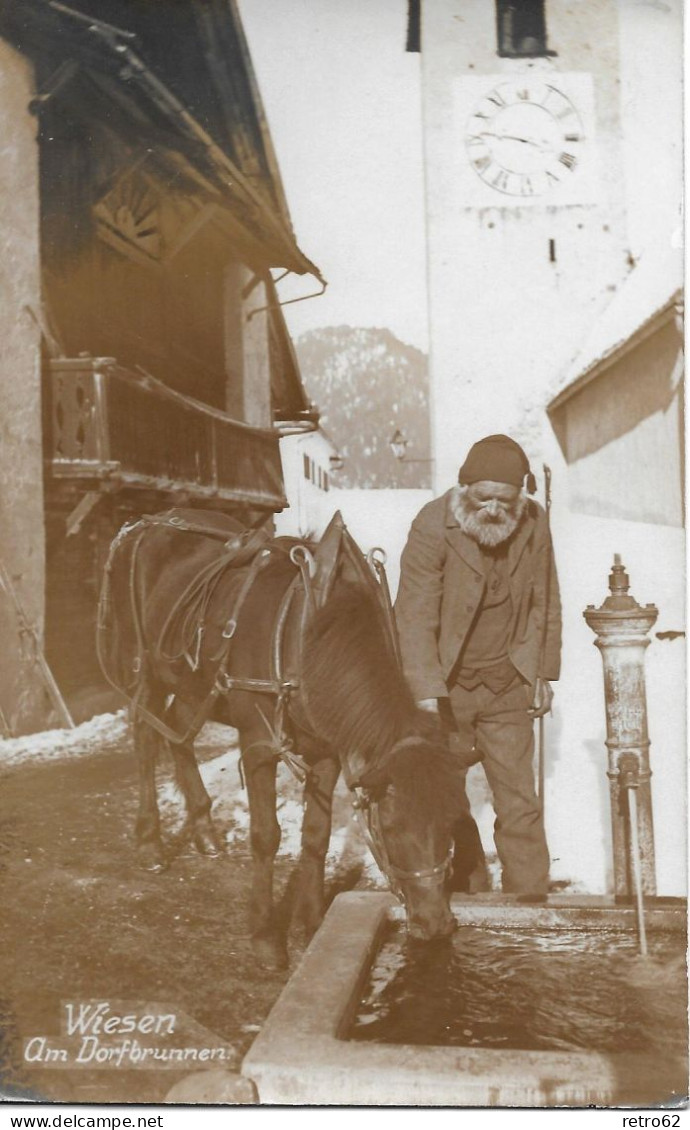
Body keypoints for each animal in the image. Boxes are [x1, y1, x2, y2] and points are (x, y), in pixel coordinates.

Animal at [98, 508, 465, 967]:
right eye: (393, 827)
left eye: (451, 821)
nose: (436, 924)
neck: (312, 635)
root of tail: (146, 523)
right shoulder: (258, 745)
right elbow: (266, 837)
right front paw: (264, 936)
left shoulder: (328, 753)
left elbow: (316, 836)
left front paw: (312, 921)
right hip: (143, 668)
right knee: (147, 738)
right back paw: (149, 841)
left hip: (193, 684)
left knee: (177, 731)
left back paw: (204, 829)